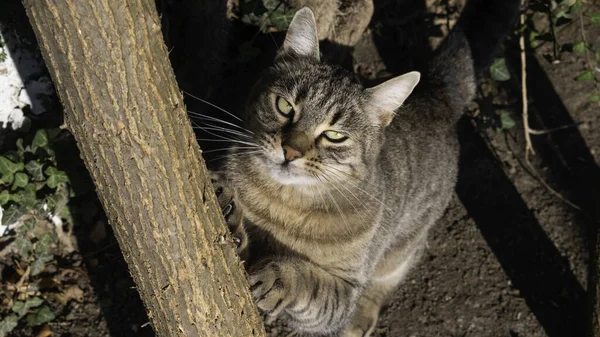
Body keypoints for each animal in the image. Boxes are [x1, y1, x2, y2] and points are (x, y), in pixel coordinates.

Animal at [209, 1, 516, 334]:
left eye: (335, 135)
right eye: (285, 107)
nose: (290, 150)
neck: (282, 205)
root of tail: (436, 93)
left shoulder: (344, 290)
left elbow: (309, 282)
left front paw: (279, 276)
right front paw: (229, 214)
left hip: (403, 245)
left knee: (389, 276)